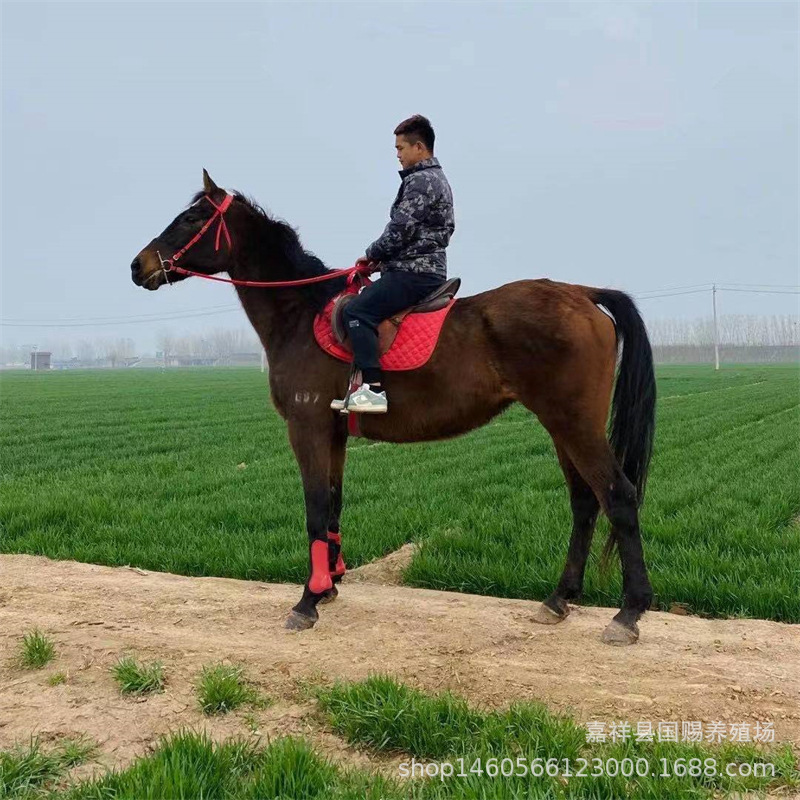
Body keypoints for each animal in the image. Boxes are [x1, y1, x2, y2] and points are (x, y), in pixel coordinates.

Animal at [131, 170, 656, 646]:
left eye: (192, 217)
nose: (138, 265)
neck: (301, 315)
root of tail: (583, 293)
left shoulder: (306, 427)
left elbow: (315, 507)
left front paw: (307, 600)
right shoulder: (334, 433)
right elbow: (334, 504)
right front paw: (329, 585)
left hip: (574, 424)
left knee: (619, 496)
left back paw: (629, 613)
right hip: (562, 426)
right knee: (586, 501)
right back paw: (559, 599)